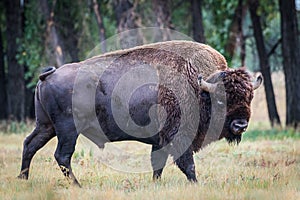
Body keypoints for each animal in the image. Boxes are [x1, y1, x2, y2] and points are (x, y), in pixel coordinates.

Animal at [17, 40, 262, 186]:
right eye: (221, 100)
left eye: (249, 97)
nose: (240, 125)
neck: (200, 87)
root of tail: (50, 74)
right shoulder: (179, 137)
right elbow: (187, 164)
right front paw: (196, 184)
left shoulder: (160, 140)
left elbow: (158, 164)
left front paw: (156, 184)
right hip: (67, 129)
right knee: (62, 155)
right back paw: (76, 185)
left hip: (46, 126)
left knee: (30, 145)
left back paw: (23, 179)